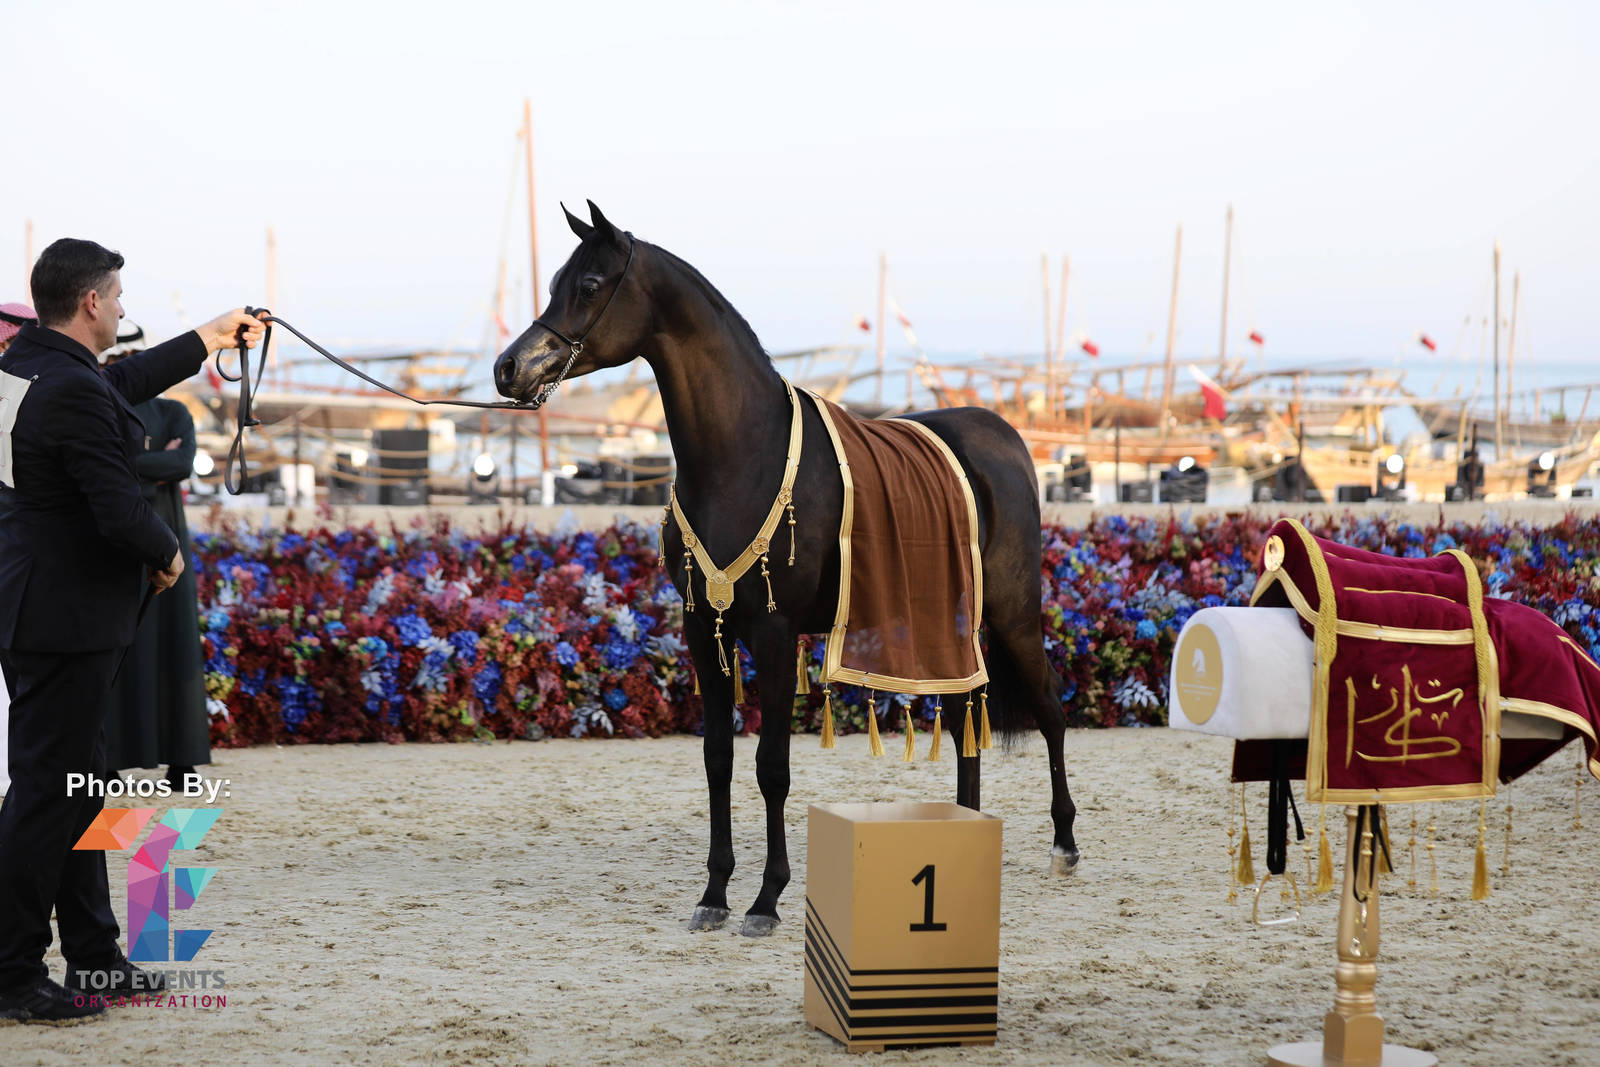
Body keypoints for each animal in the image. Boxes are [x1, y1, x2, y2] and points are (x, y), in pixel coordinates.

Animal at [494, 202, 1079, 936]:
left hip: (1013, 613)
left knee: (1051, 708)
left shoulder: (773, 633)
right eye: (555, 283)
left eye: (591, 283)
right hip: (950, 623)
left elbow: (772, 765)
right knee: (964, 714)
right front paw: (714, 893)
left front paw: (766, 900)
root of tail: (1004, 437)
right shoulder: (702, 629)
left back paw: (1065, 843)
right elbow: (718, 759)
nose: (507, 368)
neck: (745, 452)